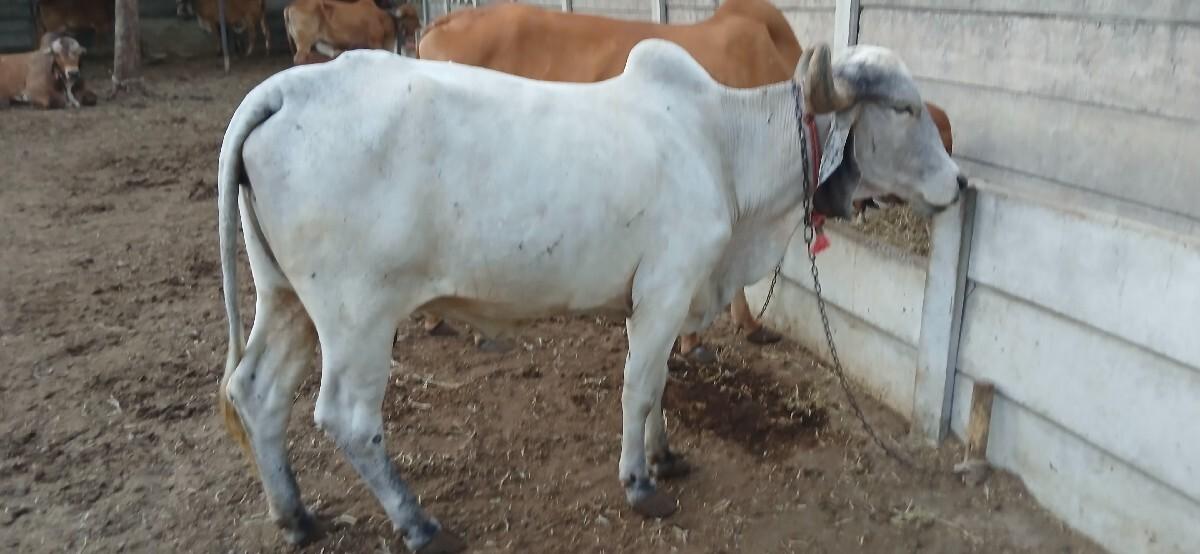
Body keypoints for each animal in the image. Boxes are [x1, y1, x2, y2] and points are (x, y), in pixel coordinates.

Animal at [214, 39, 964, 552]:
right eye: (903, 108)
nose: (958, 183)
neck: (723, 147)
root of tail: (287, 89)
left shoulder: (672, 300)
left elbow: (661, 385)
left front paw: (665, 456)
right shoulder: (663, 292)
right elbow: (639, 387)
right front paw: (639, 483)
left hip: (286, 299)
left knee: (256, 391)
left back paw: (296, 516)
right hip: (358, 317)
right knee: (346, 416)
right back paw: (418, 522)